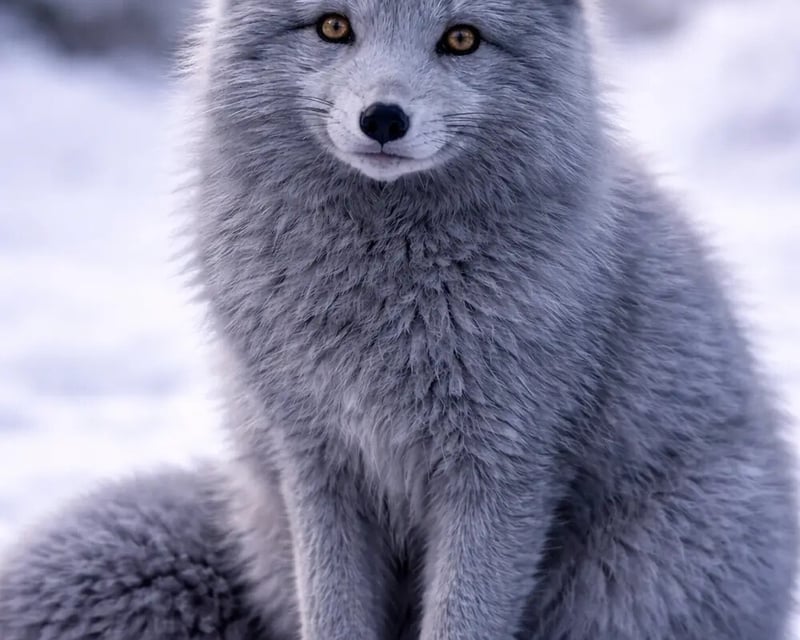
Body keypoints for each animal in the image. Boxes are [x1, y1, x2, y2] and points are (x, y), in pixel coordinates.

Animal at [0, 0, 797, 639]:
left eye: (462, 38)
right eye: (333, 26)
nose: (383, 118)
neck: (379, 318)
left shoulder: (503, 474)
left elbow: (463, 621)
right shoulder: (317, 463)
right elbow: (332, 617)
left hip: (629, 581)